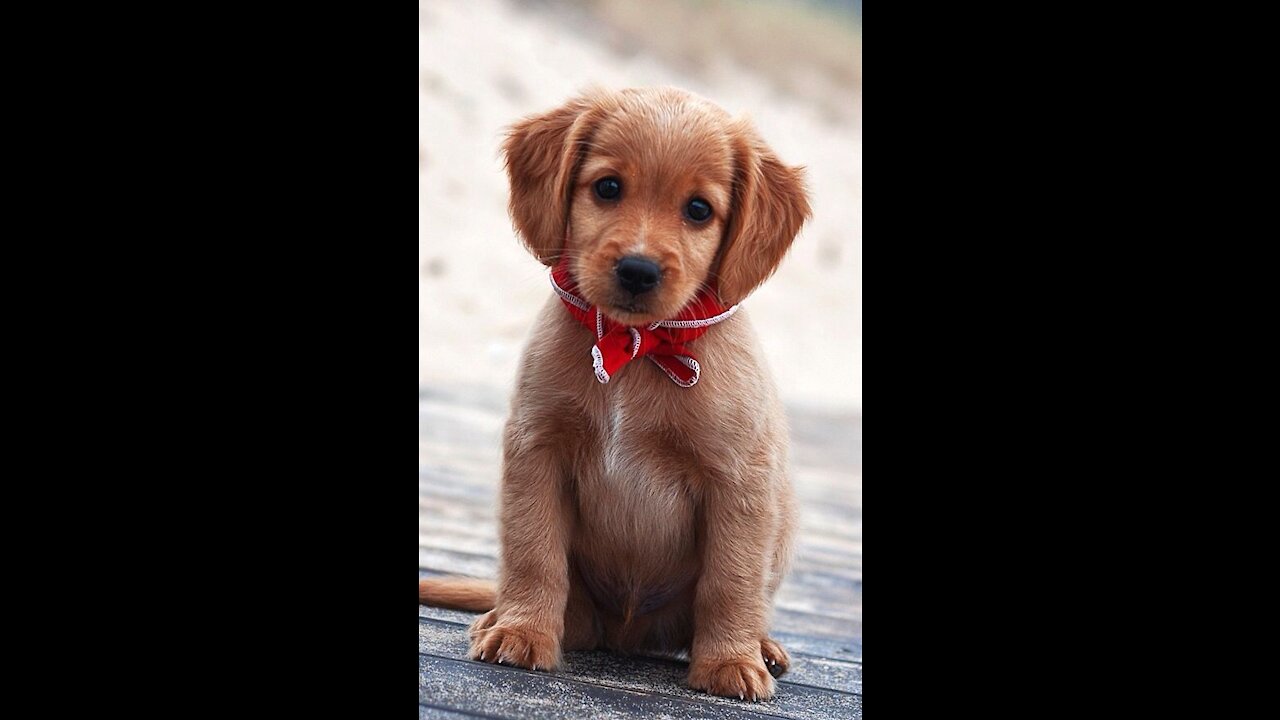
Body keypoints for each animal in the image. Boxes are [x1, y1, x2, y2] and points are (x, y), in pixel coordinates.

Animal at [424, 87, 814, 696]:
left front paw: (730, 662)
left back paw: (763, 646)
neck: (635, 349)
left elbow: (730, 580)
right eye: (608, 187)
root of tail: (630, 633)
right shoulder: (537, 450)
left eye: (698, 210)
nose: (637, 269)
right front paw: (523, 632)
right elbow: (534, 553)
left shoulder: (738, 481)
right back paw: (499, 616)